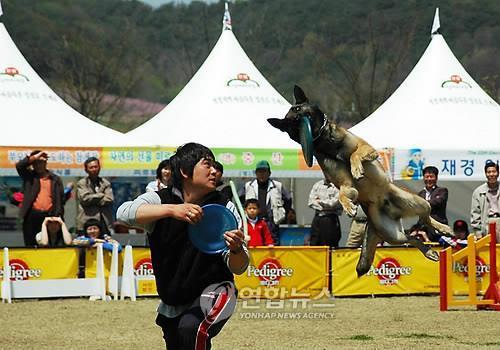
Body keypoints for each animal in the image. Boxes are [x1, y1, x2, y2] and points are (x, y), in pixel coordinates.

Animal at [270, 85, 454, 276]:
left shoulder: (366, 148)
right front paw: (349, 206)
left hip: (419, 202)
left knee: (426, 219)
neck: (325, 141)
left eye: (299, 109)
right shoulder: (346, 185)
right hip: (393, 235)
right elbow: (344, 193)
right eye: (291, 122)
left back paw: (443, 229)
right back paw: (429, 251)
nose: (299, 120)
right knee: (411, 238)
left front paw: (356, 168)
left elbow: (354, 154)